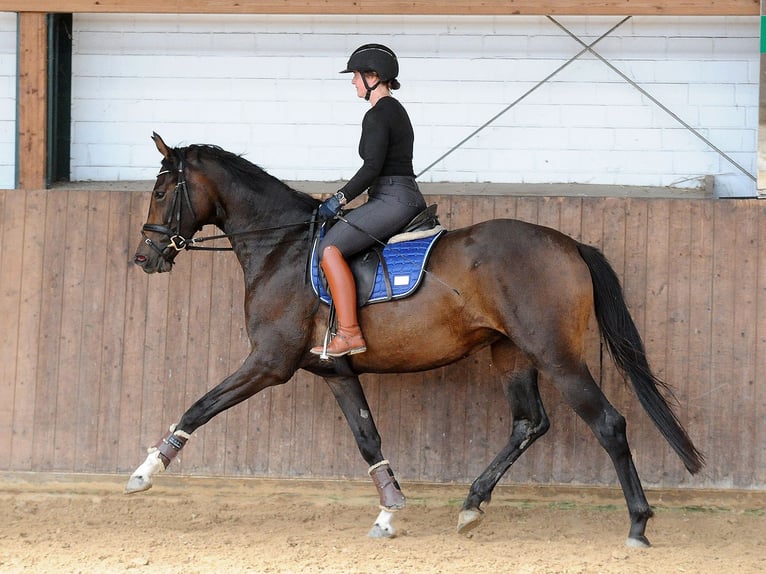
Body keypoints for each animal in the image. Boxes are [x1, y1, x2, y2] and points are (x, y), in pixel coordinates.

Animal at [127, 132, 704, 547]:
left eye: (160, 192)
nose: (144, 258)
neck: (282, 248)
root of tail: (570, 244)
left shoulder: (270, 362)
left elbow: (201, 406)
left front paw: (146, 470)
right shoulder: (335, 371)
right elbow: (368, 439)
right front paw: (388, 512)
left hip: (556, 355)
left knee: (608, 423)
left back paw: (637, 525)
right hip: (511, 354)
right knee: (529, 423)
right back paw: (471, 505)